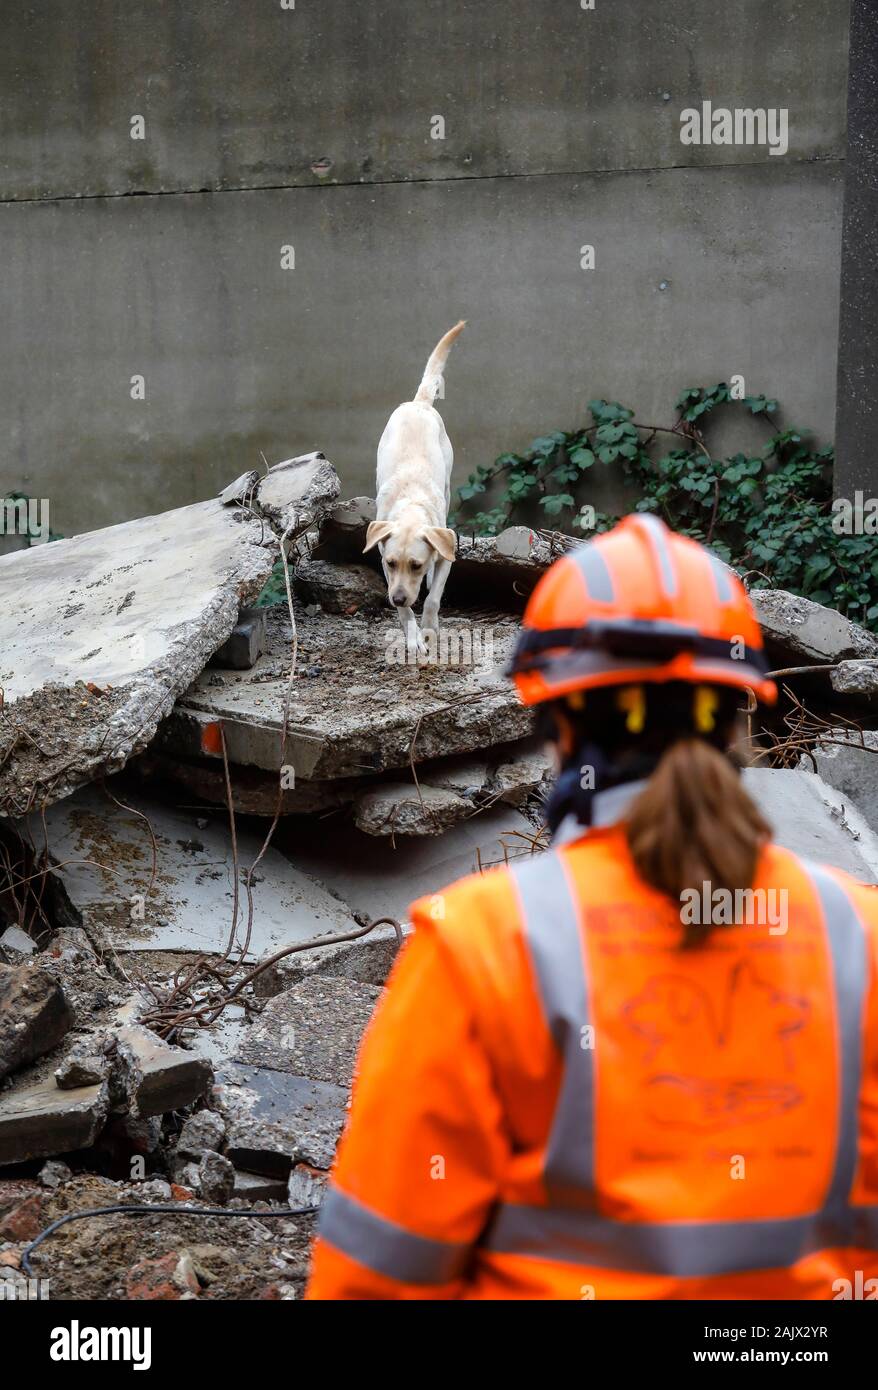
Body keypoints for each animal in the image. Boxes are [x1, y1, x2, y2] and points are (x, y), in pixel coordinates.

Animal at [361, 319, 464, 656]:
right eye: (392, 563)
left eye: (416, 565)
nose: (396, 598)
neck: (410, 507)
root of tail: (419, 403)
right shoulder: (383, 558)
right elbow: (406, 612)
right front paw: (412, 636)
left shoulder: (446, 557)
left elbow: (432, 599)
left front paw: (429, 630)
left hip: (448, 484)